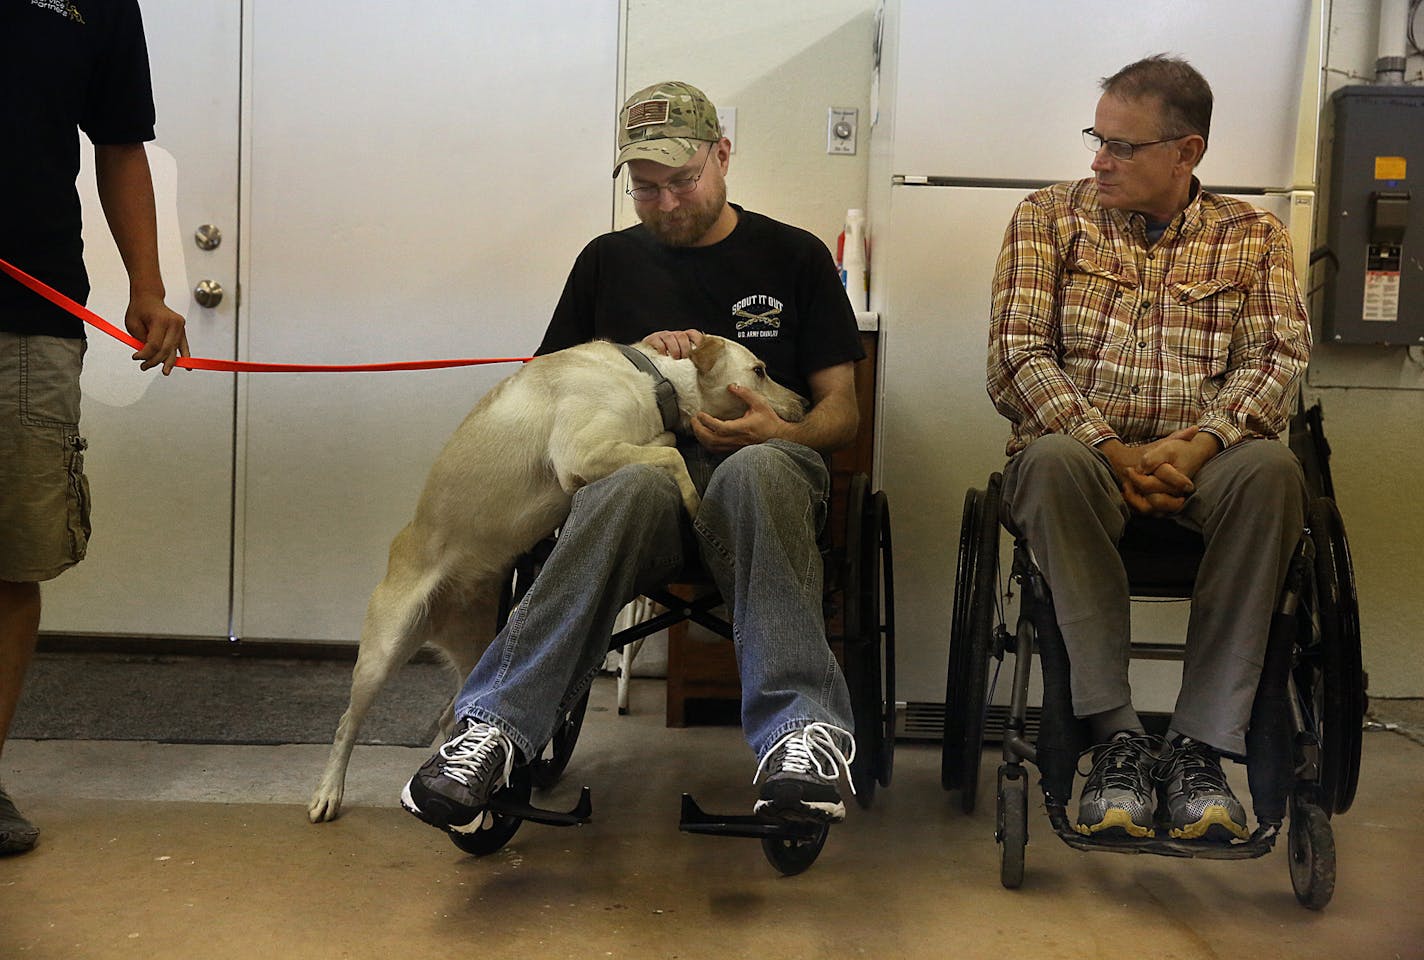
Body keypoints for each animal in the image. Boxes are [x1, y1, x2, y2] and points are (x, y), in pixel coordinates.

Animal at [307, 333, 808, 820]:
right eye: (759, 370)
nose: (804, 404)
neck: (651, 380)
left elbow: (663, 441)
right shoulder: (582, 456)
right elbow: (671, 455)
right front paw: (693, 503)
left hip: (482, 645)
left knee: (458, 710)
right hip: (384, 651)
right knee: (346, 725)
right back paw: (329, 793)